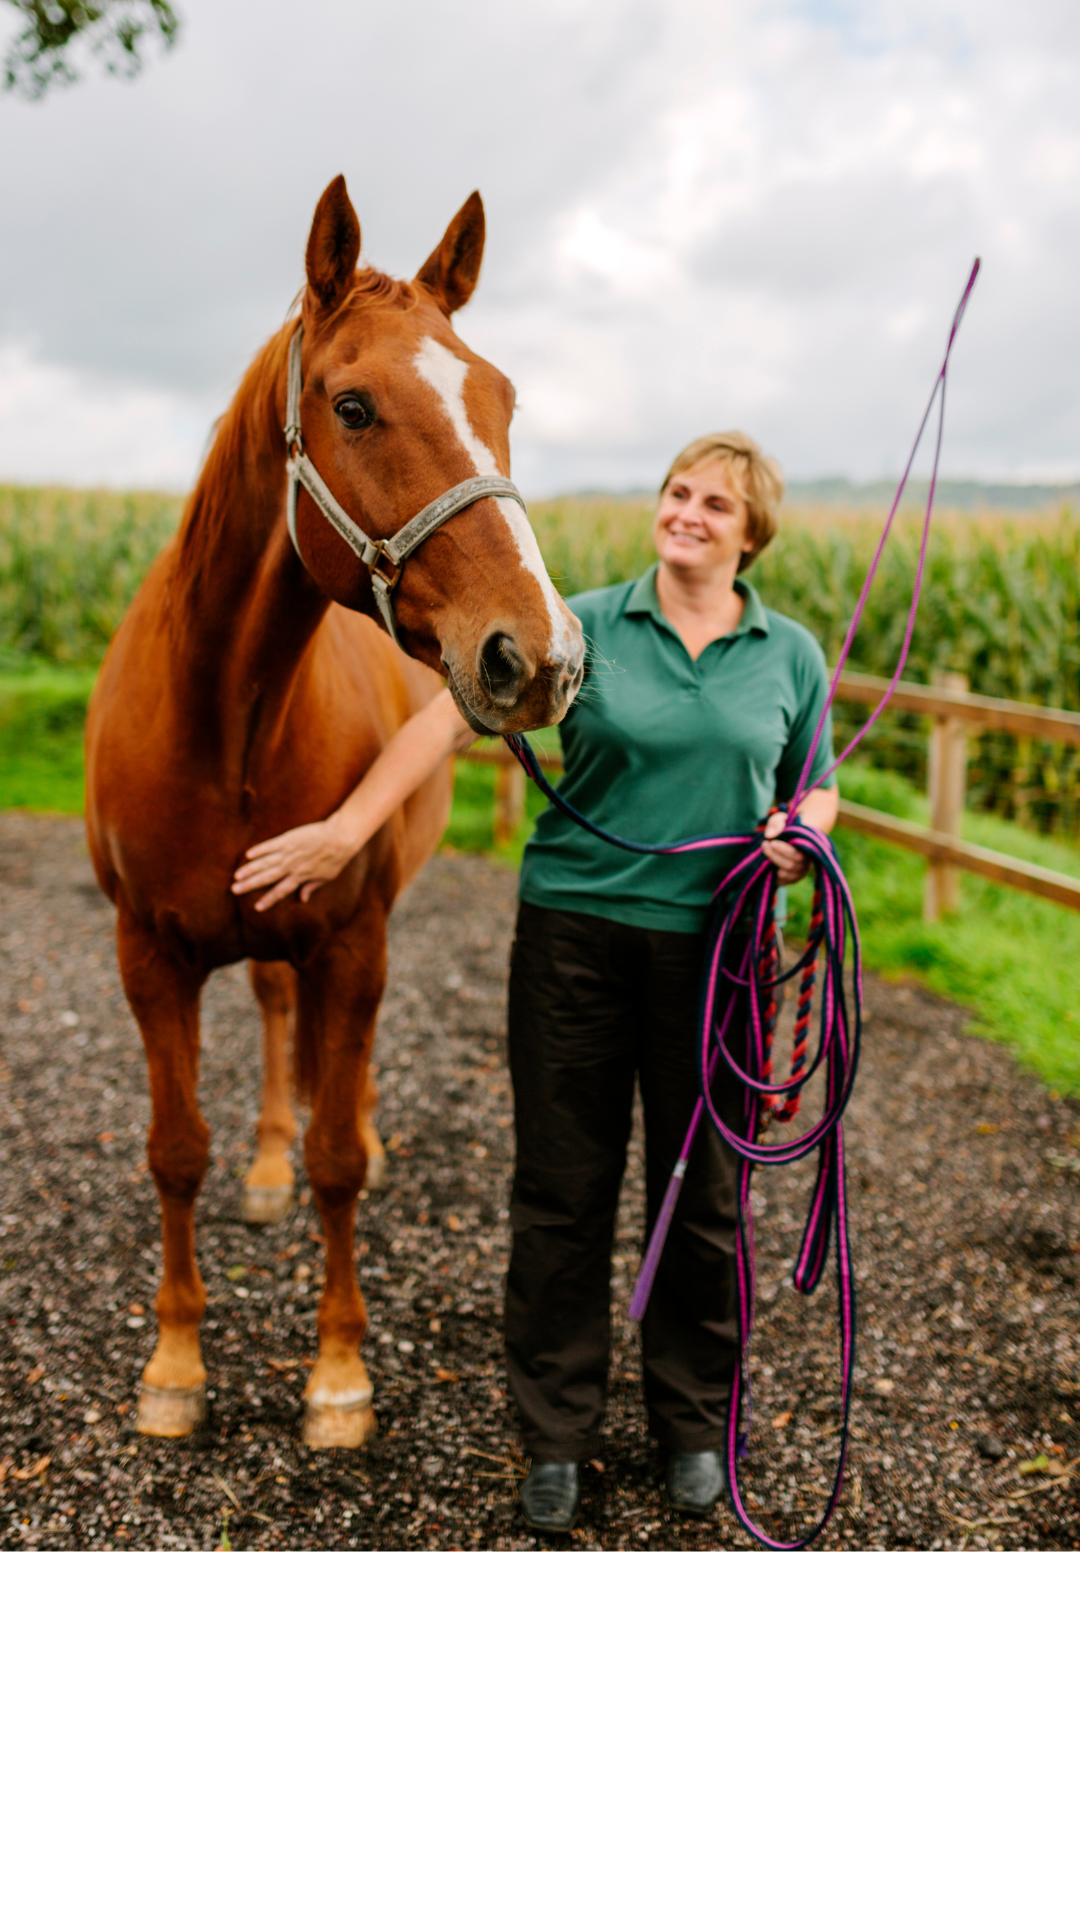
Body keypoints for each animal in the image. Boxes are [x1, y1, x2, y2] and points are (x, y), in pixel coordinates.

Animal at [85, 176, 580, 1443]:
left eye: (505, 399)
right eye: (353, 406)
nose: (542, 655)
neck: (228, 718)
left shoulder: (351, 943)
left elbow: (338, 1169)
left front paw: (340, 1375)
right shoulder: (147, 956)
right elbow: (176, 1151)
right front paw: (174, 1366)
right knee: (272, 1020)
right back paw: (266, 1166)